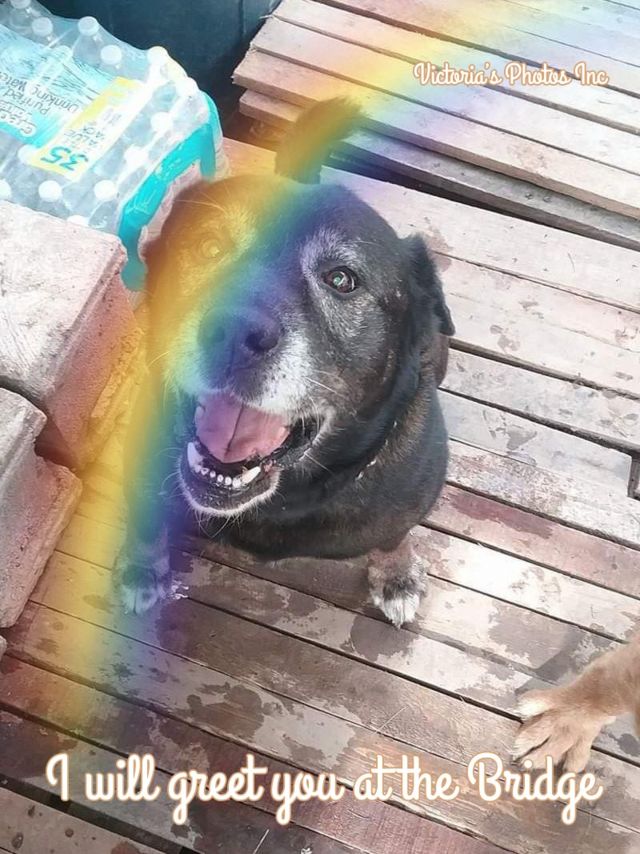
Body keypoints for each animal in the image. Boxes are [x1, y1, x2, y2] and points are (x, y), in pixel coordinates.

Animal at [115, 98, 455, 627]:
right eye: (208, 246)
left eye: (342, 279)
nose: (236, 333)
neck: (282, 498)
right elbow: (147, 525)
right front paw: (142, 570)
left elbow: (395, 538)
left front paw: (397, 575)